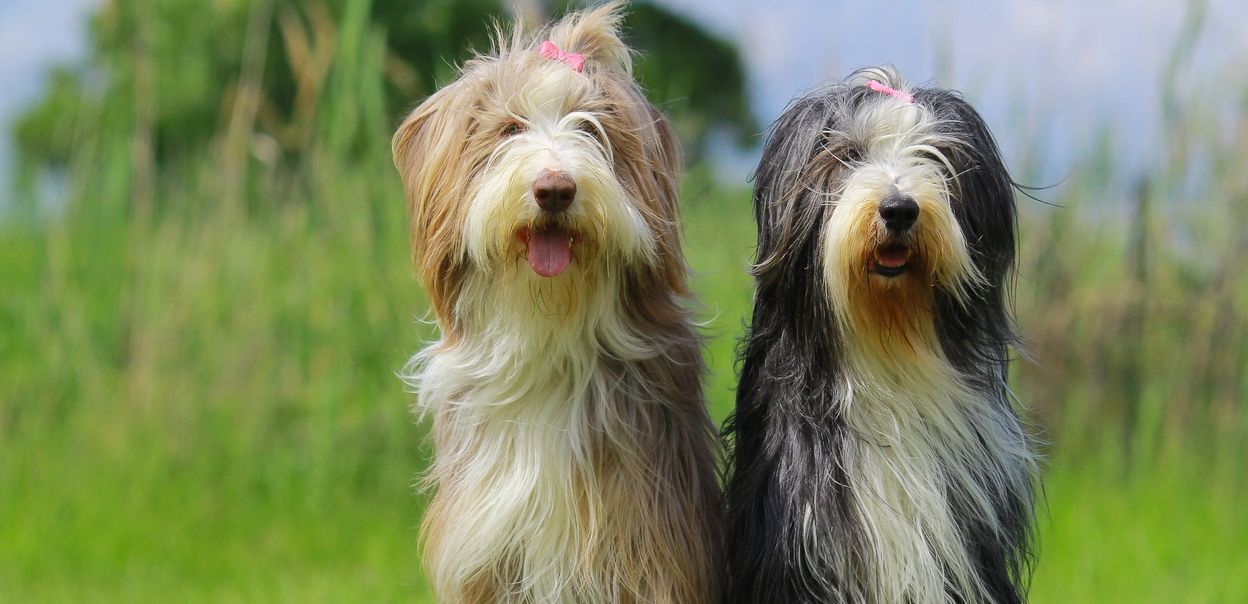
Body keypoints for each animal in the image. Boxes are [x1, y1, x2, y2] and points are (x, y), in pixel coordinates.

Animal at [389, 2, 723, 601]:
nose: (555, 189)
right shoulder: (485, 559)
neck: (548, 339)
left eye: (591, 128)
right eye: (510, 128)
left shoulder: (652, 544)